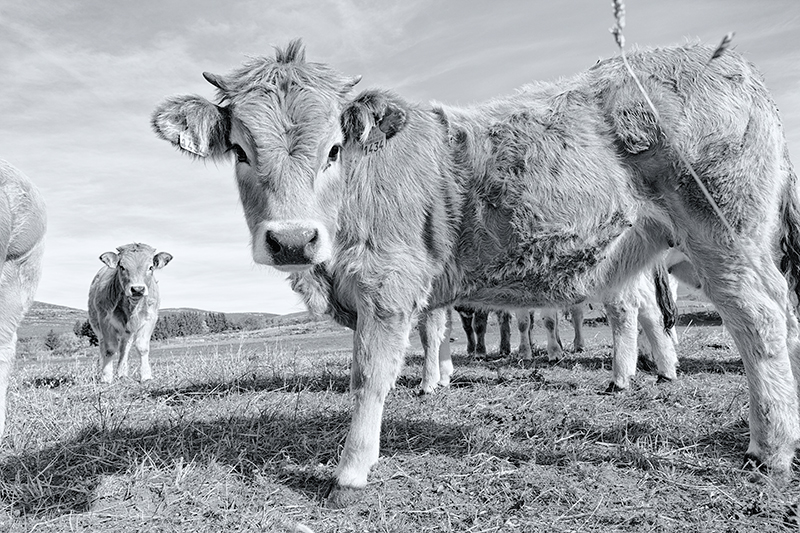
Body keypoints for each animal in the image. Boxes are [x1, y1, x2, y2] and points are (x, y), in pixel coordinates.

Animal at [88, 243, 173, 384]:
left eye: (151, 267)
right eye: (122, 267)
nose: (137, 289)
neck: (132, 308)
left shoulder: (150, 319)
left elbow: (142, 347)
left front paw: (146, 376)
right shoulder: (105, 320)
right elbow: (110, 349)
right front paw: (106, 377)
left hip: (127, 334)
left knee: (124, 349)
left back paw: (122, 373)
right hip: (98, 329)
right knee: (103, 347)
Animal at [152, 40, 800, 502]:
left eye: (334, 149)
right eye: (240, 150)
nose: (291, 238)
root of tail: (725, 60)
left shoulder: (388, 287)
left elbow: (370, 376)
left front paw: (351, 472)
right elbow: (431, 340)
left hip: (723, 236)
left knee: (760, 324)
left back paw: (769, 450)